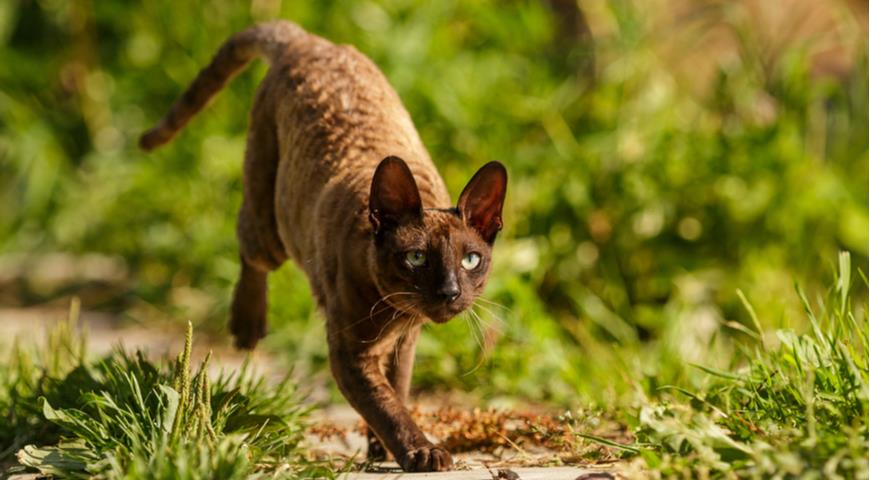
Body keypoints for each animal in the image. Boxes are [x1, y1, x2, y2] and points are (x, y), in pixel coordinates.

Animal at [140, 19, 508, 472]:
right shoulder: (350, 353)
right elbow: (385, 405)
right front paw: (420, 451)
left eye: (471, 260)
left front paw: (382, 448)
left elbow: (397, 392)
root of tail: (308, 41)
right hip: (271, 225)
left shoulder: (403, 345)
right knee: (249, 247)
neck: (397, 315)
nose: (450, 292)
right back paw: (247, 327)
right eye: (417, 258)